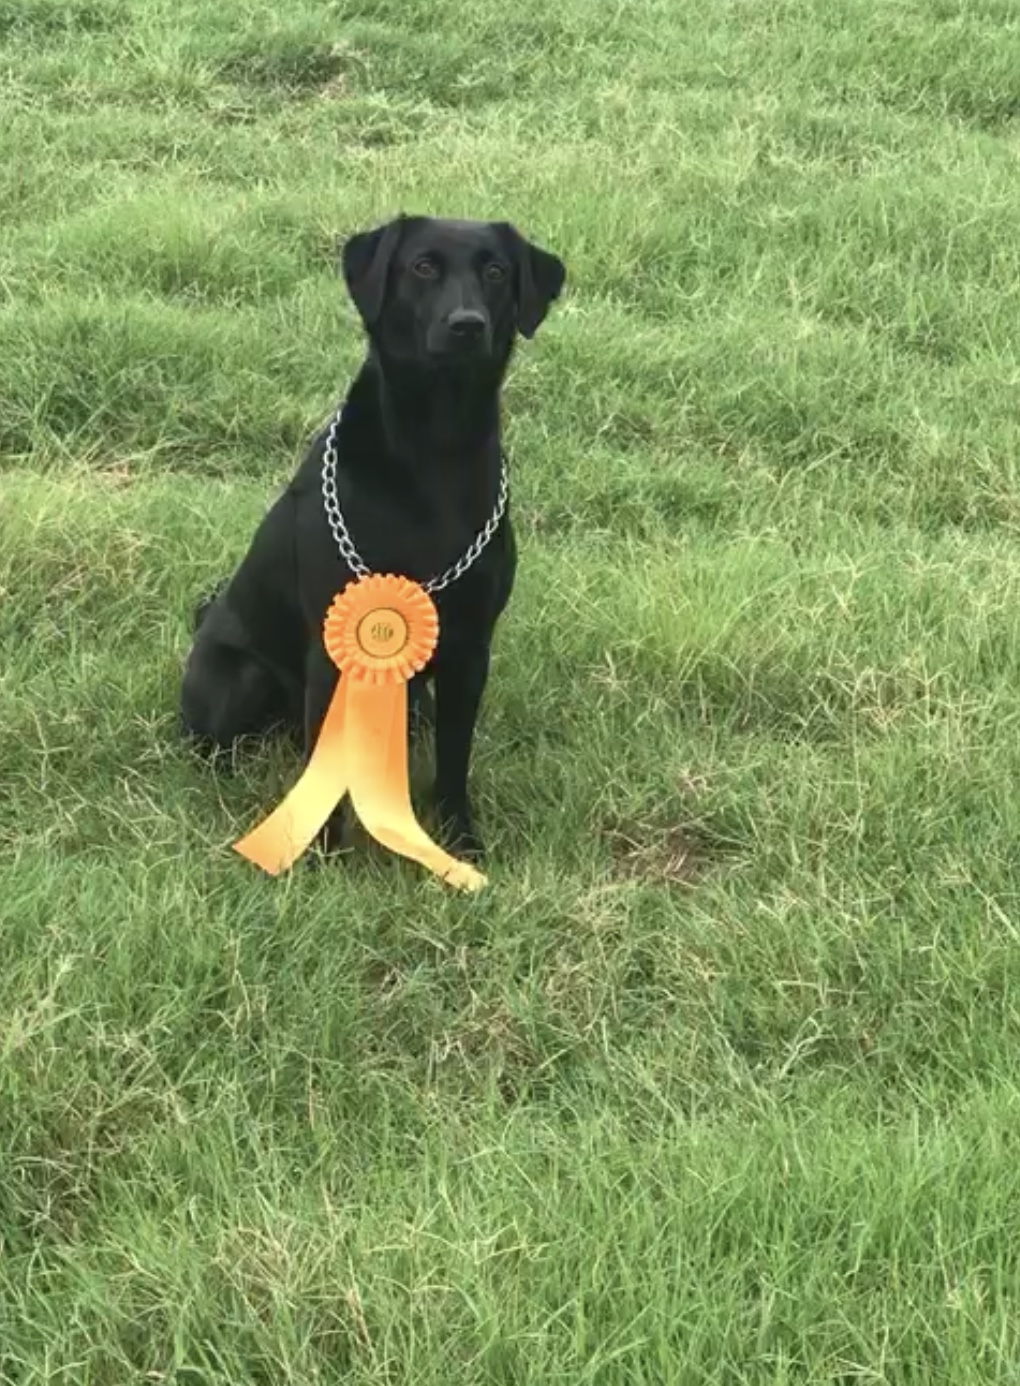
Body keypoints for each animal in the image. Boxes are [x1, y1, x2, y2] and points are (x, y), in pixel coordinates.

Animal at [182, 214, 565, 859]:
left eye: (495, 271)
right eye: (423, 266)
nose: (467, 325)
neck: (435, 452)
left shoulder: (470, 650)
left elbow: (454, 761)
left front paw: (459, 843)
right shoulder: (331, 651)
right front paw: (325, 856)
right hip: (235, 680)